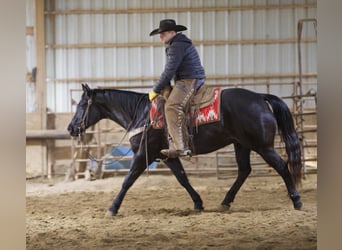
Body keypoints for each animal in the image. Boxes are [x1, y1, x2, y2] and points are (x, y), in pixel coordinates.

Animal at [68, 83, 304, 215]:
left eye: (82, 105)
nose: (71, 128)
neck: (142, 114)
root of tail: (260, 97)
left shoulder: (143, 154)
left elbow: (127, 180)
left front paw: (112, 208)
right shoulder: (168, 156)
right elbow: (182, 178)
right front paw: (198, 203)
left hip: (262, 146)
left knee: (281, 166)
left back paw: (296, 200)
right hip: (241, 144)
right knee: (244, 171)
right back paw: (225, 202)